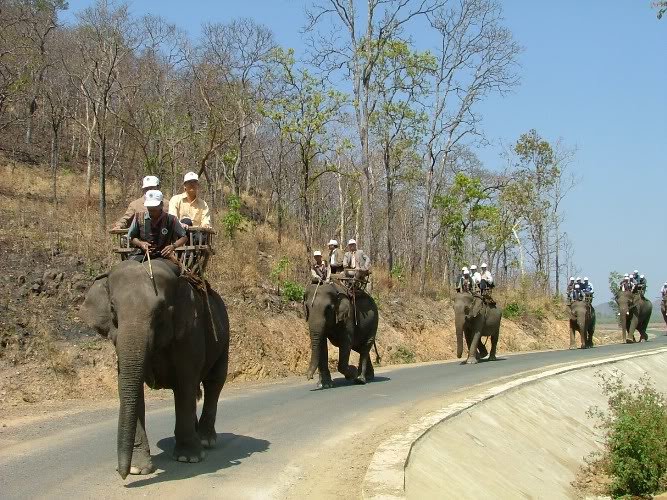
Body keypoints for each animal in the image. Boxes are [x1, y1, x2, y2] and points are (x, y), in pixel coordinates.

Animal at [81, 260, 230, 478]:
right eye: (112, 309)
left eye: (160, 310)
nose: (122, 474)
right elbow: (129, 388)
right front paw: (138, 469)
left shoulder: (190, 333)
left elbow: (185, 382)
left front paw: (189, 458)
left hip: (224, 335)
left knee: (214, 382)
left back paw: (205, 441)